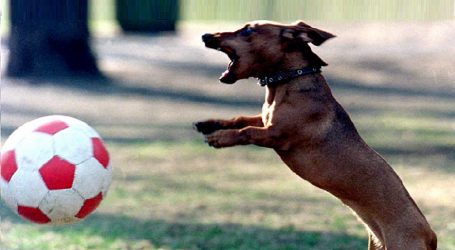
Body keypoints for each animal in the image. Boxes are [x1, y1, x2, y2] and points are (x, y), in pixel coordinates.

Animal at [195, 21, 438, 250]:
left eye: (247, 30)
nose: (205, 35)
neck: (289, 84)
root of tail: (430, 235)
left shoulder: (275, 135)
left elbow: (247, 132)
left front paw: (219, 138)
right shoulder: (264, 120)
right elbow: (240, 119)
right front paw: (210, 124)